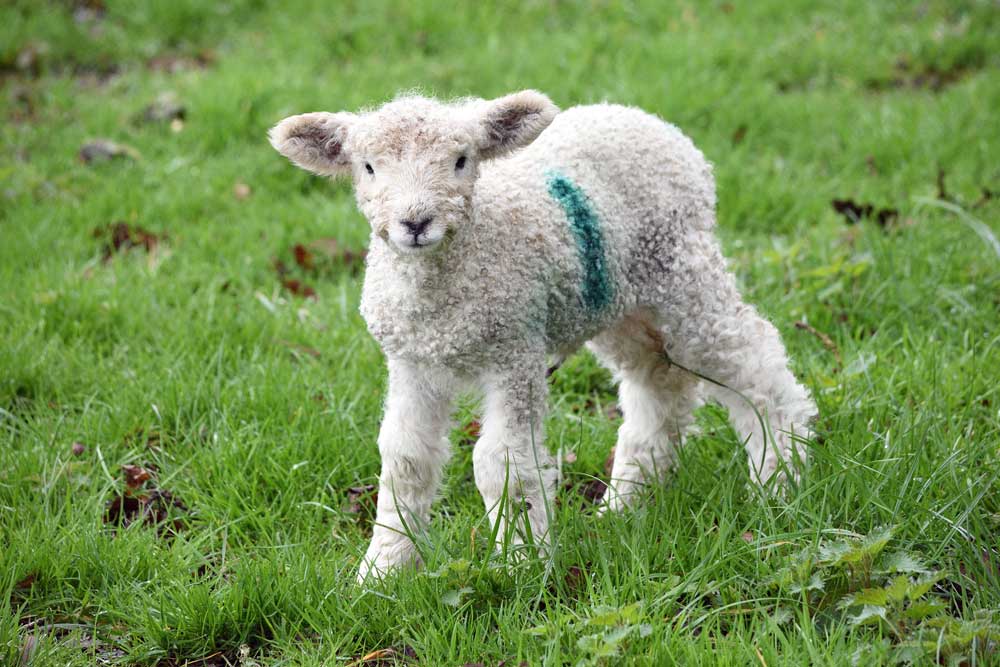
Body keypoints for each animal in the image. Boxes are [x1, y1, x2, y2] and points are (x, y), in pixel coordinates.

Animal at [269, 90, 817, 582]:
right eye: (368, 167)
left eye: (461, 161)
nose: (416, 222)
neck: (441, 295)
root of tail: (643, 118)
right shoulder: (412, 363)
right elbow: (405, 460)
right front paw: (382, 571)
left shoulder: (514, 352)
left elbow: (502, 464)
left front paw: (521, 562)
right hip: (619, 303)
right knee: (658, 385)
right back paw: (625, 505)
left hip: (684, 270)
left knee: (754, 361)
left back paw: (781, 477)